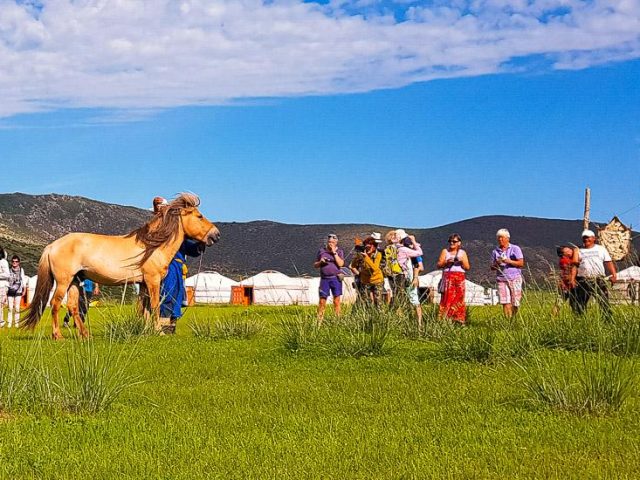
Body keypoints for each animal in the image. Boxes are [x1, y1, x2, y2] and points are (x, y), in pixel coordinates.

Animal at [21, 193, 220, 340]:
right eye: (199, 216)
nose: (216, 235)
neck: (152, 245)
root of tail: (52, 246)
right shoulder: (153, 281)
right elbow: (155, 305)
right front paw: (158, 331)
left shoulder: (143, 284)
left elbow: (144, 308)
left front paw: (144, 330)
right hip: (63, 281)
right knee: (55, 304)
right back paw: (58, 336)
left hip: (75, 281)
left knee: (72, 306)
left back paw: (85, 335)